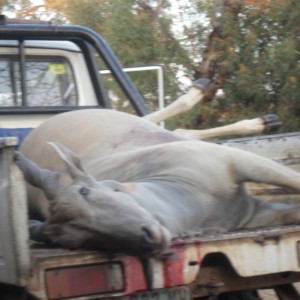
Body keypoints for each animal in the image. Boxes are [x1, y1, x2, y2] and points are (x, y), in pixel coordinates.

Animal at [15, 109, 300, 256]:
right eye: (80, 241)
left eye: (86, 191)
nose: (148, 240)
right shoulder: (254, 215)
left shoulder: (239, 161)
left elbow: (293, 180)